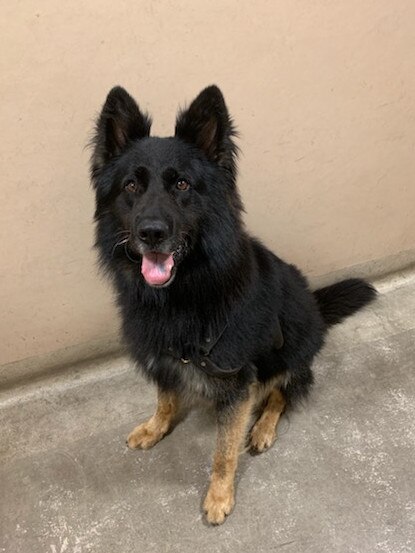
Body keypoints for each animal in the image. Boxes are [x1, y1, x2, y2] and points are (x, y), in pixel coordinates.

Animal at [90, 85, 376, 520]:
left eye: (183, 185)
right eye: (131, 186)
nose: (151, 233)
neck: (187, 292)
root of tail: (315, 306)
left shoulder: (237, 378)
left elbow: (224, 449)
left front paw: (220, 495)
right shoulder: (163, 355)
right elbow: (165, 398)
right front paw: (155, 427)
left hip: (292, 350)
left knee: (282, 391)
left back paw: (262, 428)